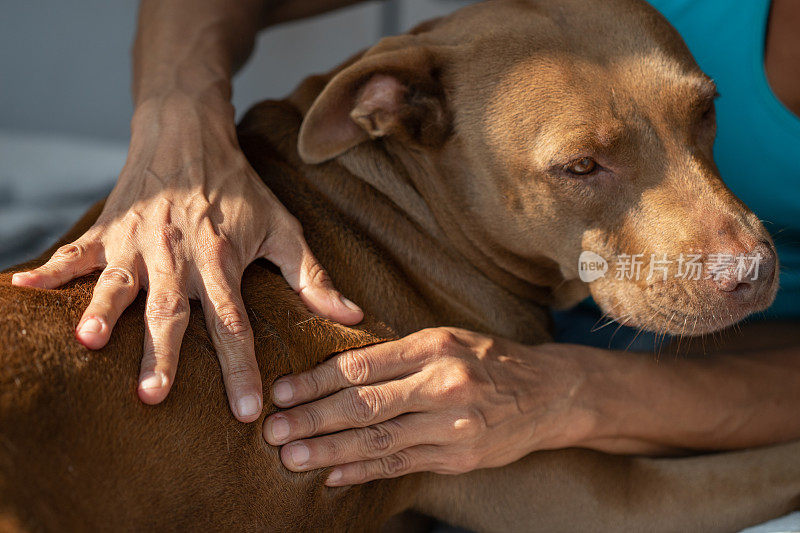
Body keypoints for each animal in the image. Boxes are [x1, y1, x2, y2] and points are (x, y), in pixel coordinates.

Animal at [1, 0, 800, 528]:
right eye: (580, 166)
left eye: (707, 111)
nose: (756, 270)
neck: (399, 201)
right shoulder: (620, 501)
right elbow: (775, 459)